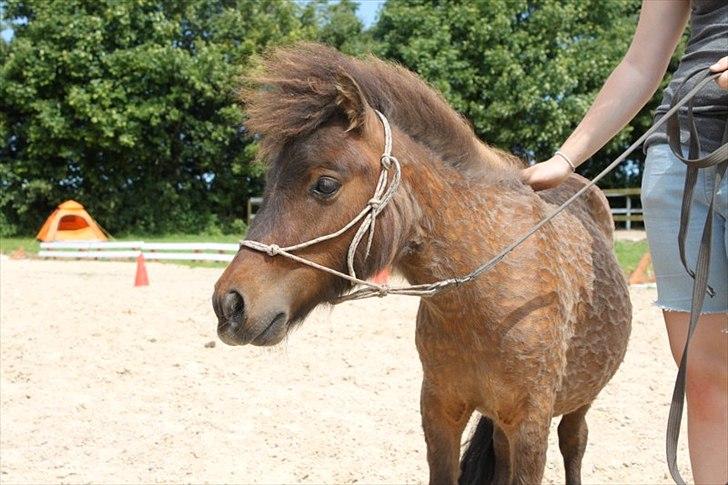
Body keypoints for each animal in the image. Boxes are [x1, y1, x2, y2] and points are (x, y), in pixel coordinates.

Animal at [213, 43, 636, 482]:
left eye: (325, 184)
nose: (230, 303)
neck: (484, 301)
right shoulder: (440, 414)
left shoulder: (530, 426)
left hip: (579, 401)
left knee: (574, 442)